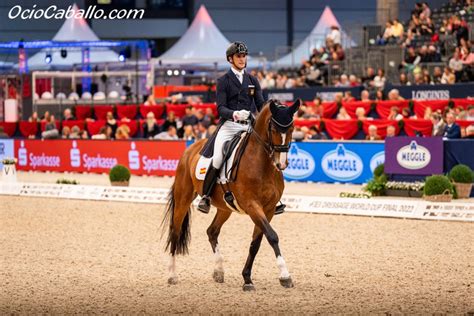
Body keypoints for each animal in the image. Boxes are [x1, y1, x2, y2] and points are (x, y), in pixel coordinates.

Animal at [161, 99, 298, 292]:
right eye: (273, 129)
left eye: (292, 128)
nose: (281, 164)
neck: (262, 164)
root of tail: (191, 148)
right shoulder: (252, 205)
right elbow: (272, 236)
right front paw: (285, 275)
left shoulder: (269, 209)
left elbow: (256, 243)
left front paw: (247, 279)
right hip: (183, 197)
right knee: (176, 230)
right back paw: (172, 275)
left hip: (225, 207)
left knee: (212, 231)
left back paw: (218, 271)